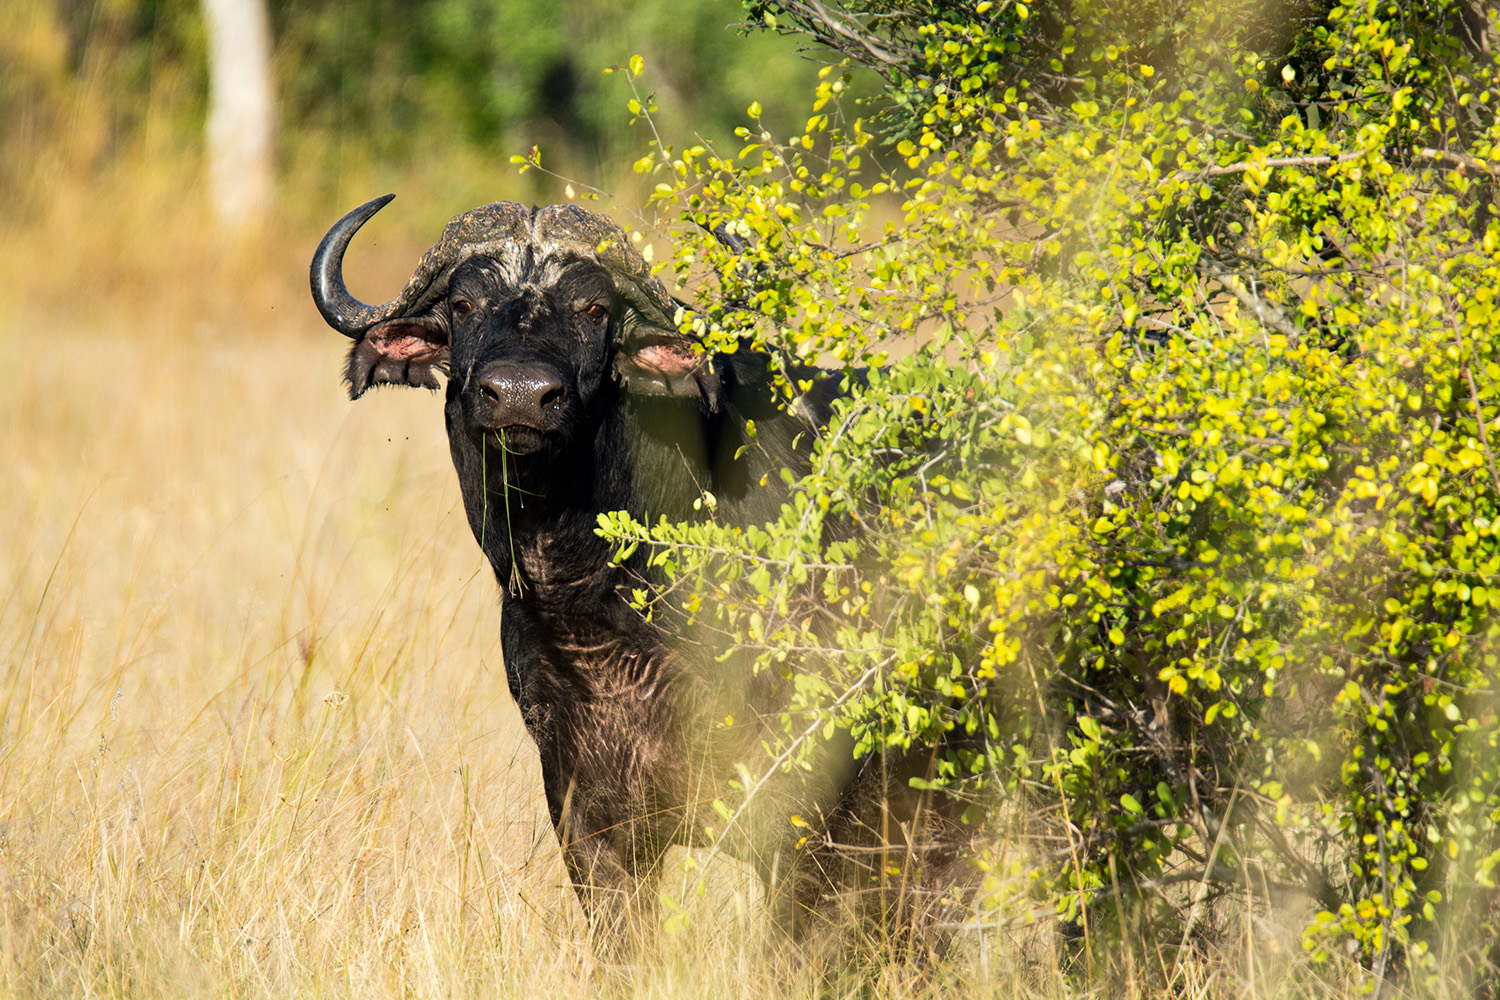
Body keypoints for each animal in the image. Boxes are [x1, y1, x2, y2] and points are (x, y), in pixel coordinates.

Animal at [310, 195, 970, 955]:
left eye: (595, 307)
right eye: (466, 304)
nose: (520, 396)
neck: (602, 607)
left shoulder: (804, 820)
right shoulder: (589, 822)